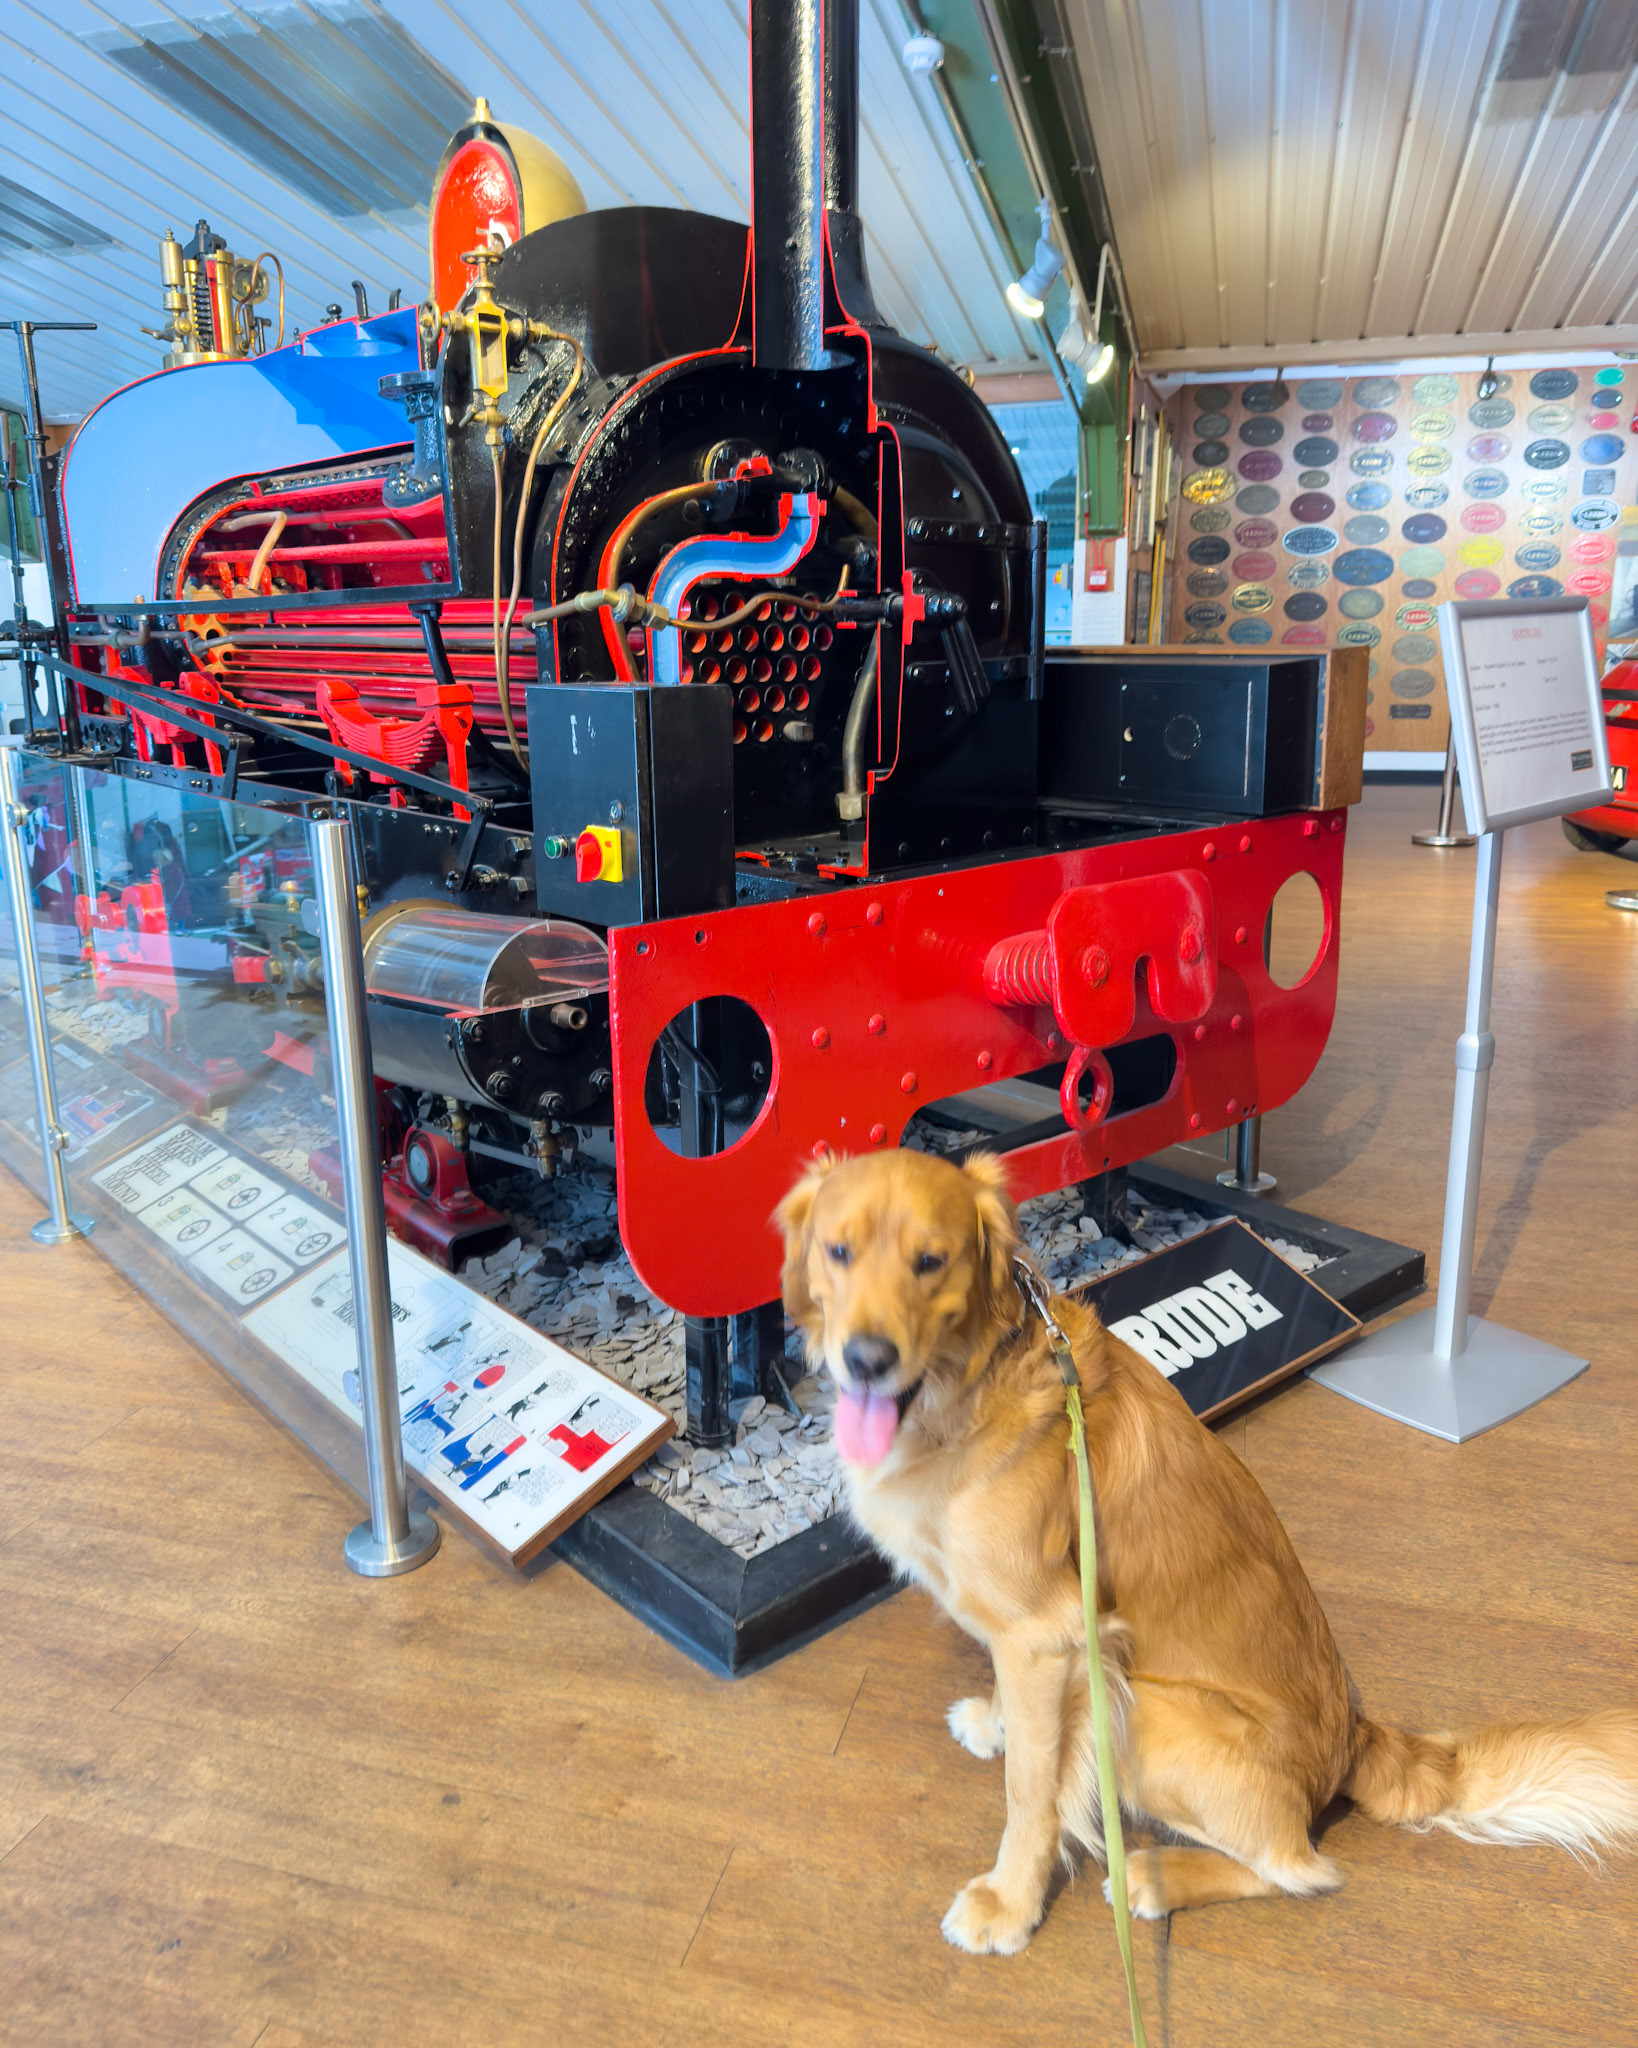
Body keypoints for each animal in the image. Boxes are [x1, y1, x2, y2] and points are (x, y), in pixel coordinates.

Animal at [777, 1146, 1638, 1955]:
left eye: (932, 1260)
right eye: (838, 1251)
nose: (865, 1359)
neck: (964, 1388)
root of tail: (1353, 1741)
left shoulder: (1048, 1633)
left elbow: (1033, 1791)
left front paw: (1011, 1902)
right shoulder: (1035, 1635)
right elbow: (1026, 1726)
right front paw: (996, 1721)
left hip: (1150, 1715)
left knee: (1296, 1868)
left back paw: (1157, 1875)